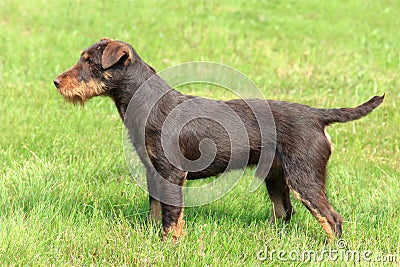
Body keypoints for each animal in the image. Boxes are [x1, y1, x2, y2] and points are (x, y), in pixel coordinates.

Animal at [54, 38, 384, 243]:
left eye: (89, 62)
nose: (56, 81)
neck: (145, 101)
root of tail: (318, 116)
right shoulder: (153, 171)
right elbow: (155, 210)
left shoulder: (172, 173)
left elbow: (171, 215)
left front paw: (168, 245)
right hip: (277, 177)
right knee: (285, 212)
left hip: (305, 177)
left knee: (332, 218)